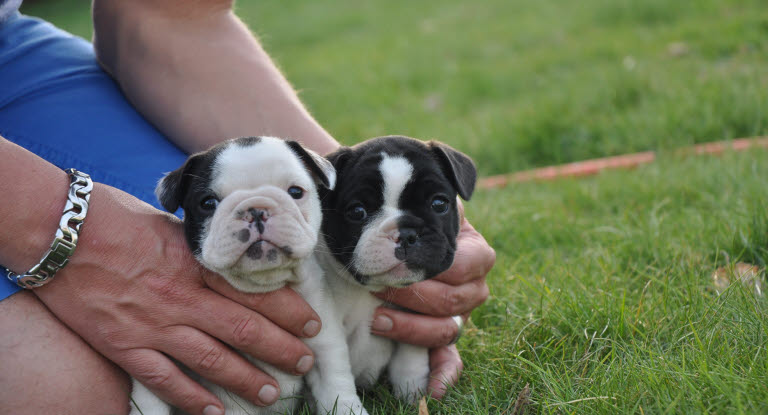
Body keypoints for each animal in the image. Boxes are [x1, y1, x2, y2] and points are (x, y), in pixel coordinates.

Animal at [130, 137, 368, 415]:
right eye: (208, 203)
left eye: (295, 191)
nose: (256, 209)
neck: (263, 283)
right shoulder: (165, 359)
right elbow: (151, 400)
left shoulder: (323, 342)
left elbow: (336, 389)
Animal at [316, 136, 474, 404]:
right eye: (357, 212)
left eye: (439, 204)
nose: (407, 234)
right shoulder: (325, 330)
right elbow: (334, 375)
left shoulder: (413, 321)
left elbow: (410, 358)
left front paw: (412, 396)